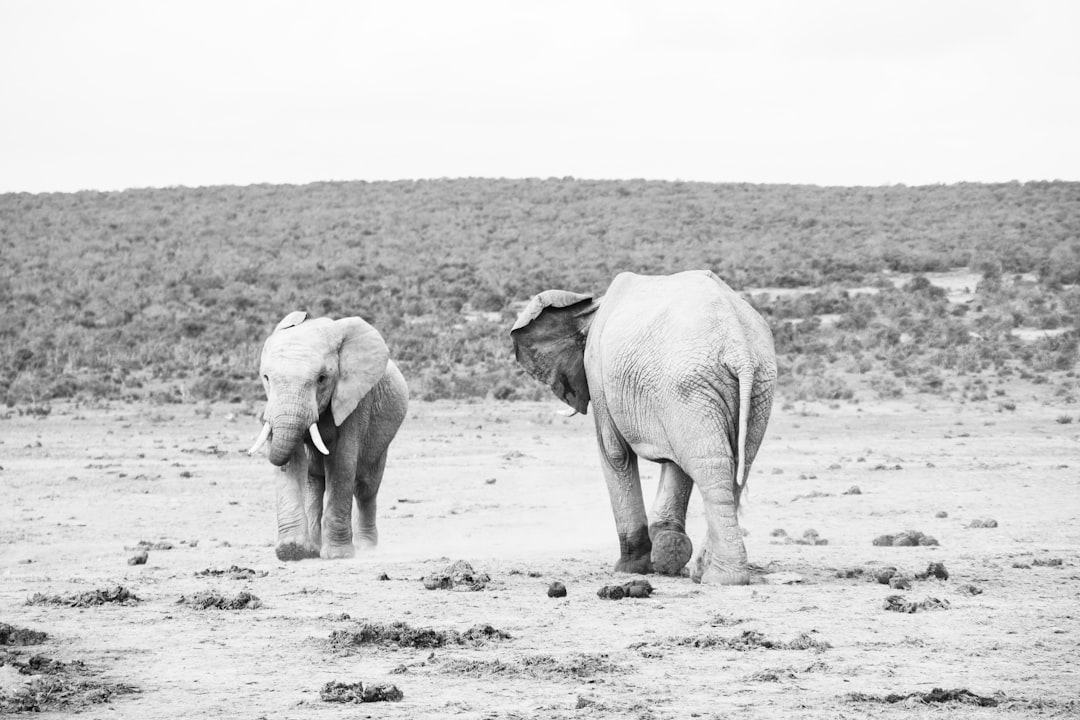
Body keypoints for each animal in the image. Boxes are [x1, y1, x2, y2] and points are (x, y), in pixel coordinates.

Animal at [248, 310, 408, 561]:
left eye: (322, 378)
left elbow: (341, 463)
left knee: (366, 488)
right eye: (266, 378)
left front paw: (338, 555)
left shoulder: (354, 401)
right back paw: (314, 547)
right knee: (314, 482)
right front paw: (291, 551)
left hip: (383, 437)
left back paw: (365, 547)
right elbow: (294, 463)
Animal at [509, 269, 773, 587]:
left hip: (691, 382)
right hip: (752, 385)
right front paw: (668, 548)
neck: (591, 308)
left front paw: (632, 567)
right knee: (735, 467)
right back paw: (704, 572)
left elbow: (615, 454)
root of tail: (738, 345)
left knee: (712, 465)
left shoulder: (598, 372)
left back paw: (721, 578)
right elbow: (674, 461)